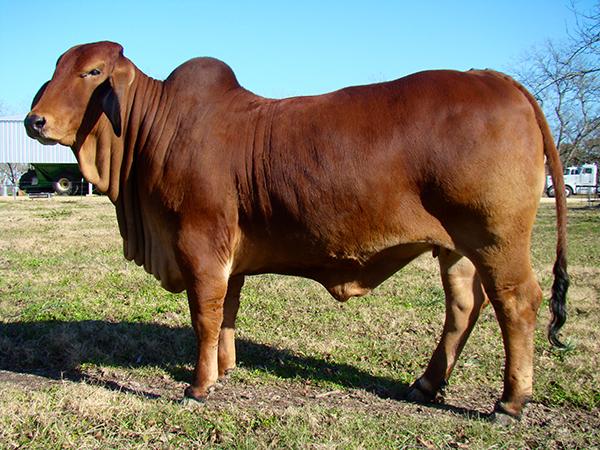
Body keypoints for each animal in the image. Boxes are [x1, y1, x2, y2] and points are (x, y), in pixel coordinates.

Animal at [23, 42, 568, 418]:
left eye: (92, 71)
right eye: (54, 67)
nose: (34, 120)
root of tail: (494, 78)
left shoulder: (199, 245)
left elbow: (205, 315)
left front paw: (199, 387)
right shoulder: (230, 256)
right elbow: (227, 313)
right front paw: (225, 369)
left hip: (496, 239)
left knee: (517, 302)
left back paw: (510, 402)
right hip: (455, 247)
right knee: (464, 306)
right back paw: (426, 385)